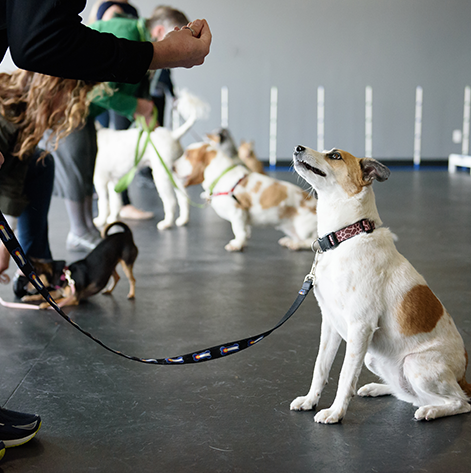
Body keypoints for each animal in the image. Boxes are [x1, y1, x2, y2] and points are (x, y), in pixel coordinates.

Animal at [94, 90, 208, 230]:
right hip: (176, 175)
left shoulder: (100, 180)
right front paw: (112, 219)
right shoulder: (113, 182)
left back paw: (166, 223)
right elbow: (116, 202)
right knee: (184, 198)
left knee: (171, 202)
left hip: (161, 176)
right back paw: (183, 220)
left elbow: (103, 203)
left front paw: (101, 220)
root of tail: (173, 135)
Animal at [173, 142, 318, 251]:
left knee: (312, 242)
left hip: (304, 229)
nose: (172, 167)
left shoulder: (237, 211)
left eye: (187, 154)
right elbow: (245, 228)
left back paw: (295, 244)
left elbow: (238, 230)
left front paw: (237, 244)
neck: (222, 176)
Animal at [292, 146, 471, 422]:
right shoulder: (330, 323)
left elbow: (345, 376)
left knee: (460, 402)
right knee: (408, 394)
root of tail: (463, 377)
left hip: (414, 364)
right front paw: (310, 400)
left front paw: (335, 412)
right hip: (373, 359)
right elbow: (320, 367)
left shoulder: (360, 326)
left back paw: (431, 411)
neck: (347, 236)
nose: (298, 148)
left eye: (335, 155)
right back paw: (379, 388)